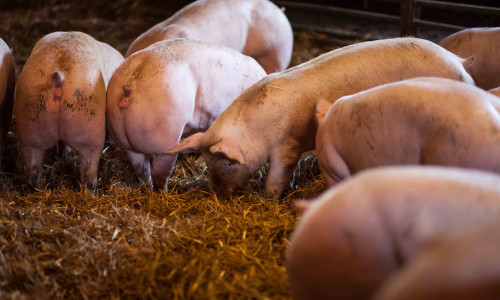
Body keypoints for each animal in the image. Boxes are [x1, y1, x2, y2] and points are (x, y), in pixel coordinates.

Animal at [15, 31, 124, 192]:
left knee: (33, 167)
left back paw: (37, 188)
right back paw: (90, 192)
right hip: (89, 127)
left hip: (30, 125)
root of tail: (59, 76)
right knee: (89, 171)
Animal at [166, 36, 474, 198]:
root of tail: (458, 60)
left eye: (228, 163)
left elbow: (276, 177)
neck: (258, 130)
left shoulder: (287, 145)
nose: (217, 194)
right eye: (206, 162)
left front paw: (269, 198)